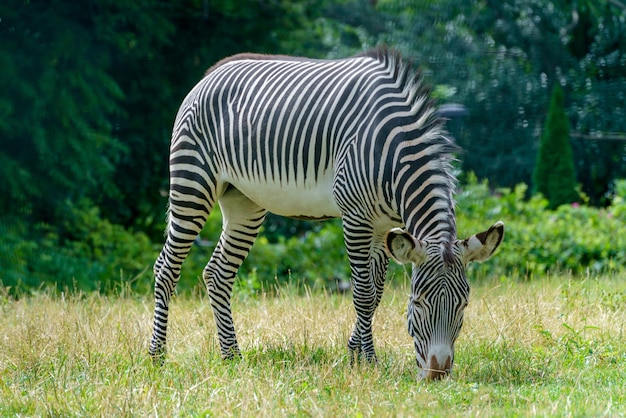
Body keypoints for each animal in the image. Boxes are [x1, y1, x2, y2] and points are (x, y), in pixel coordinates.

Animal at [150, 47, 502, 380]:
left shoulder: (385, 227)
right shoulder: (356, 217)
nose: (438, 373)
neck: (394, 151)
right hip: (192, 183)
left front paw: (357, 355)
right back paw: (158, 356)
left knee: (218, 273)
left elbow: (376, 293)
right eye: (418, 302)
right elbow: (363, 293)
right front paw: (365, 361)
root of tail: (211, 73)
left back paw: (232, 356)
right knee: (166, 267)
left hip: (243, 202)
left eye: (464, 305)